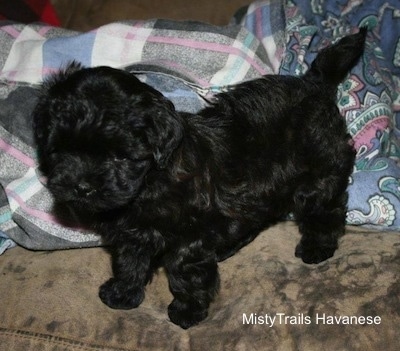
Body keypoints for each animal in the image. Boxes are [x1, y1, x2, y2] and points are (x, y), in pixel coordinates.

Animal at [32, 28, 368, 328]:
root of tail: (315, 86)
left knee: (325, 208)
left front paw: (187, 311)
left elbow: (185, 274)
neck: (150, 182)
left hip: (319, 173)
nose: (81, 187)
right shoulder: (132, 235)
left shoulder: (189, 239)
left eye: (120, 156)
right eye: (59, 150)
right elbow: (129, 262)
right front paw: (123, 293)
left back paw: (317, 247)